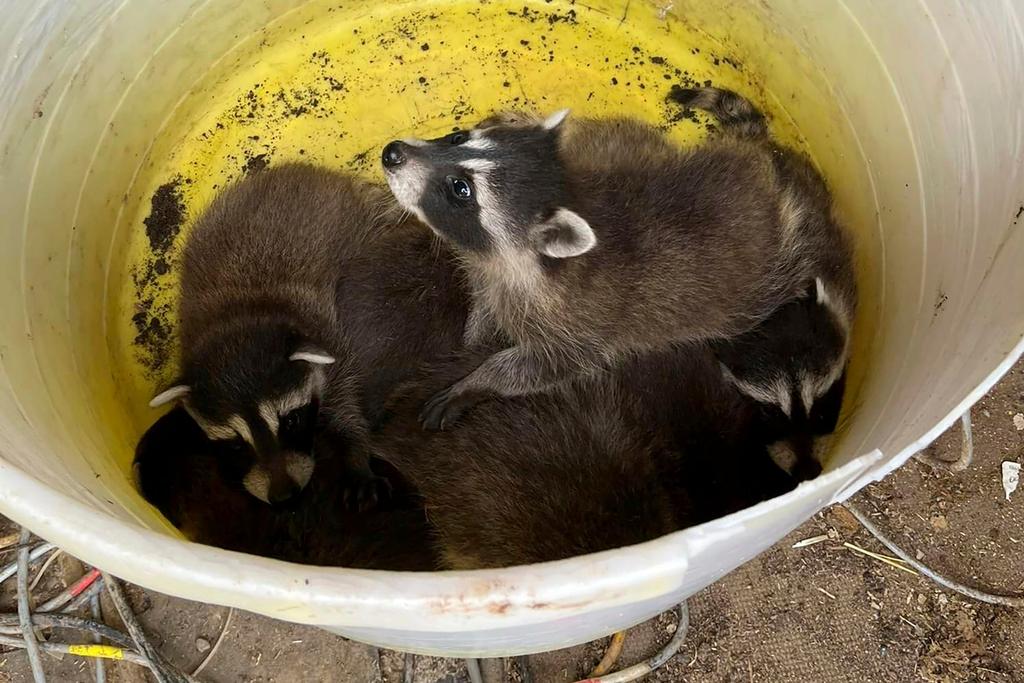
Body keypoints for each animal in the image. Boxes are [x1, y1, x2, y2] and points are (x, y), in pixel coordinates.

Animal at [147, 162, 411, 505]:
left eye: (291, 421)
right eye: (236, 443)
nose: (284, 496)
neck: (239, 317)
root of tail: (305, 171)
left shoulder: (331, 339)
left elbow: (345, 407)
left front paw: (354, 455)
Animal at [380, 83, 851, 428]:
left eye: (461, 189)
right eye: (458, 136)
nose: (391, 152)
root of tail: (762, 160)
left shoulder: (578, 327)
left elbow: (538, 368)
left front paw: (478, 381)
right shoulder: (491, 274)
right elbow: (484, 307)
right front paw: (473, 337)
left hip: (775, 274)